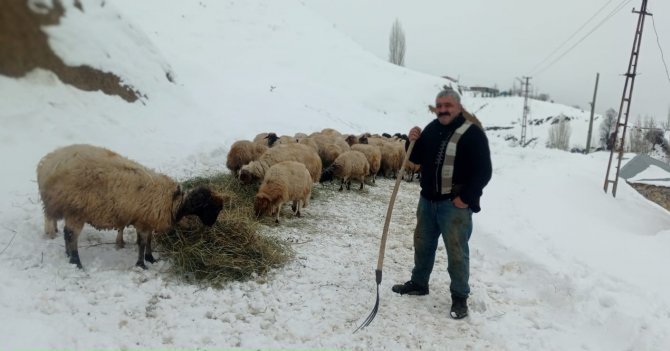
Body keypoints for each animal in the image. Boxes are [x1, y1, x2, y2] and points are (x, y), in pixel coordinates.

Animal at [36, 144, 226, 270]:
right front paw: (141, 264)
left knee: (67, 234)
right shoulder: (143, 221)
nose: (211, 224)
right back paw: (76, 262)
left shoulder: (147, 220)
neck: (173, 203)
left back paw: (69, 255)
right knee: (70, 235)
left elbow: (148, 241)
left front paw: (151, 258)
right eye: (212, 207)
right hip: (75, 208)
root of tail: (46, 163)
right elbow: (141, 243)